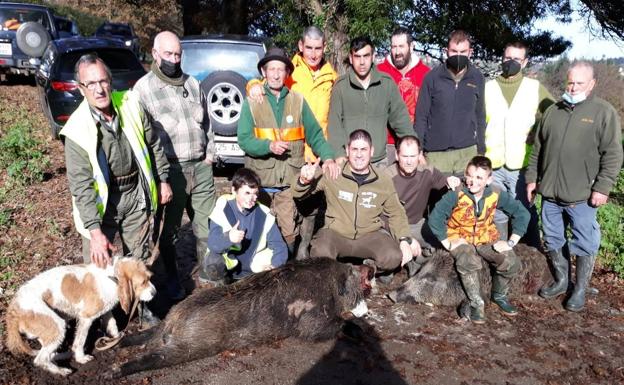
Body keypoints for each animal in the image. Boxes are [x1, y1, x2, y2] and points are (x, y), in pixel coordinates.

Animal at [5, 255, 156, 376]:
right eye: (143, 282)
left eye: (149, 278)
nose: (154, 293)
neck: (111, 276)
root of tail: (13, 310)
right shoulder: (86, 318)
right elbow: (80, 341)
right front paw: (81, 358)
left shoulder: (106, 310)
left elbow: (112, 324)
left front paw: (116, 337)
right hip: (57, 326)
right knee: (40, 359)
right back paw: (61, 371)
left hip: (50, 330)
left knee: (49, 354)